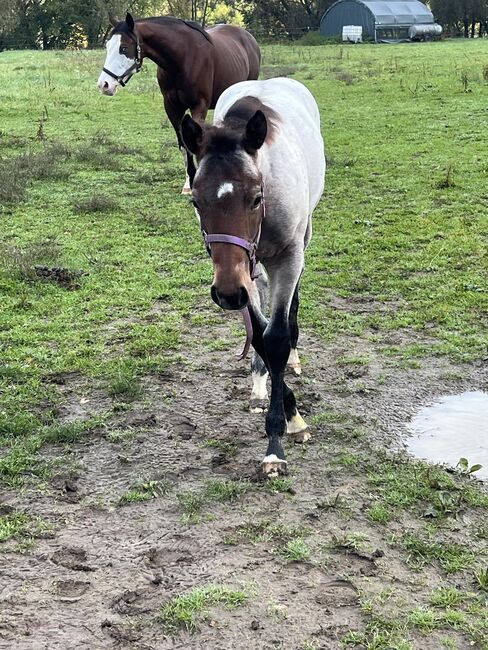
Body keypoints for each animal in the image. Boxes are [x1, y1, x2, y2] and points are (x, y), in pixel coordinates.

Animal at [96, 13, 262, 192]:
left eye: (124, 48)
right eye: (108, 47)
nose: (104, 85)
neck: (182, 59)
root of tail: (247, 37)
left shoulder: (198, 106)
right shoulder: (172, 108)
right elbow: (183, 144)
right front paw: (189, 183)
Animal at [181, 77, 326, 476]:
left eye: (257, 198)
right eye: (196, 201)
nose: (228, 295)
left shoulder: (287, 257)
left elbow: (277, 337)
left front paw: (280, 438)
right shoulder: (237, 273)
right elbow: (260, 336)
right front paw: (286, 409)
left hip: (301, 238)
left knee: (291, 308)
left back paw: (292, 356)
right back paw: (260, 381)